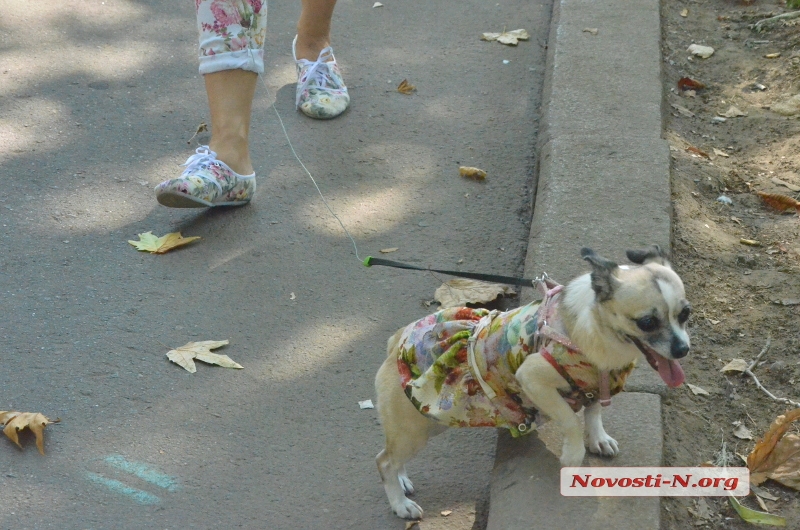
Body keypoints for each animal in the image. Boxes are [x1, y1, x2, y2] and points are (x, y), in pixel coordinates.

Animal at [372, 245, 692, 516]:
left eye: (686, 313)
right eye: (647, 323)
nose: (683, 349)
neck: (599, 339)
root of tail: (397, 341)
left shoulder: (594, 386)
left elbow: (593, 412)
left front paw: (598, 438)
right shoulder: (533, 379)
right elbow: (571, 420)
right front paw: (574, 454)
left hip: (427, 422)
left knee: (392, 453)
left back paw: (401, 481)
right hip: (416, 428)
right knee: (384, 460)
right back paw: (400, 504)